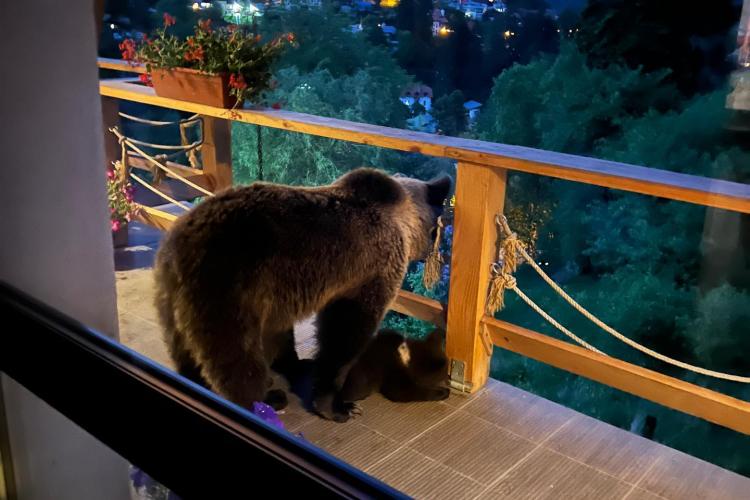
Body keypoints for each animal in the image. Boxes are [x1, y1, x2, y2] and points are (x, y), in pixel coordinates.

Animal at [150, 168, 450, 422]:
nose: (438, 256)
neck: (402, 222)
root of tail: (182, 241)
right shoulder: (368, 271)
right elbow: (345, 331)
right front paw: (339, 406)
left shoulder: (277, 294)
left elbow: (280, 332)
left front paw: (298, 364)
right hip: (226, 287)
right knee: (235, 357)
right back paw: (264, 400)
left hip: (173, 297)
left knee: (184, 348)